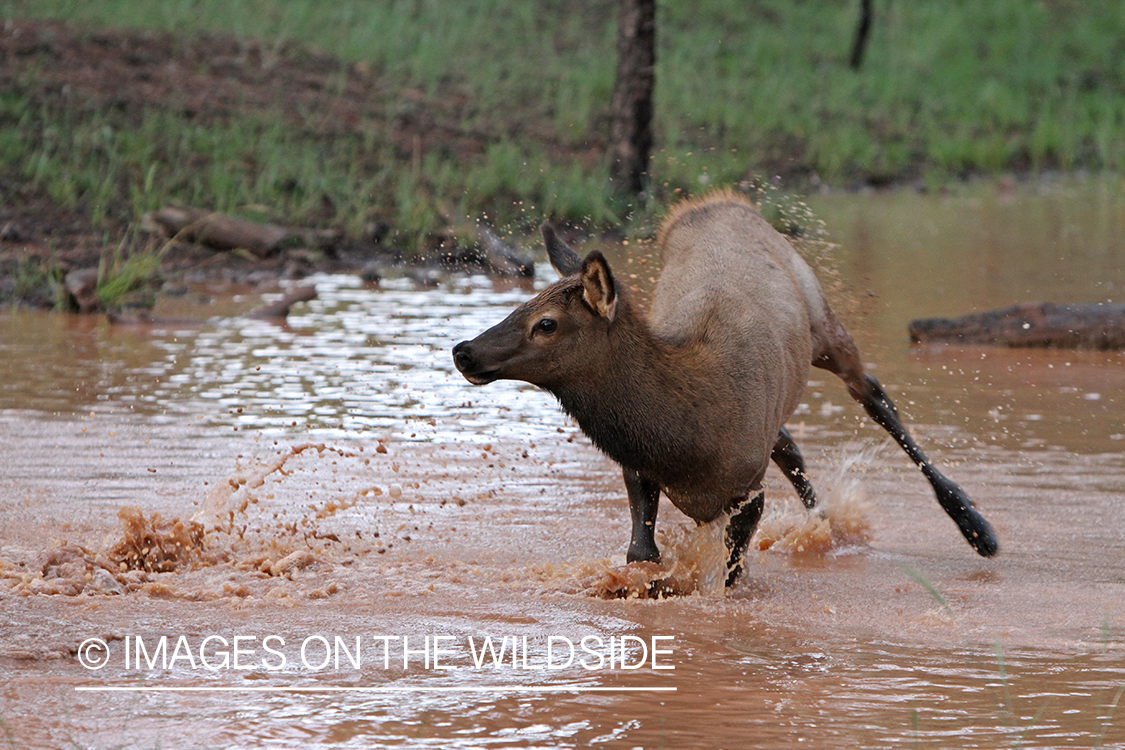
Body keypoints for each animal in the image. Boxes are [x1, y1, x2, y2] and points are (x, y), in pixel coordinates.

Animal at [452, 191, 998, 586]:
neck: (684, 439)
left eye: (546, 324)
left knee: (875, 395)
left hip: (822, 319)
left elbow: (731, 576)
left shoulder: (748, 492)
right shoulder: (641, 470)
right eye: (520, 306)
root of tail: (715, 202)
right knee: (790, 443)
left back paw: (975, 525)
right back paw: (824, 524)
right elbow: (640, 554)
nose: (464, 350)